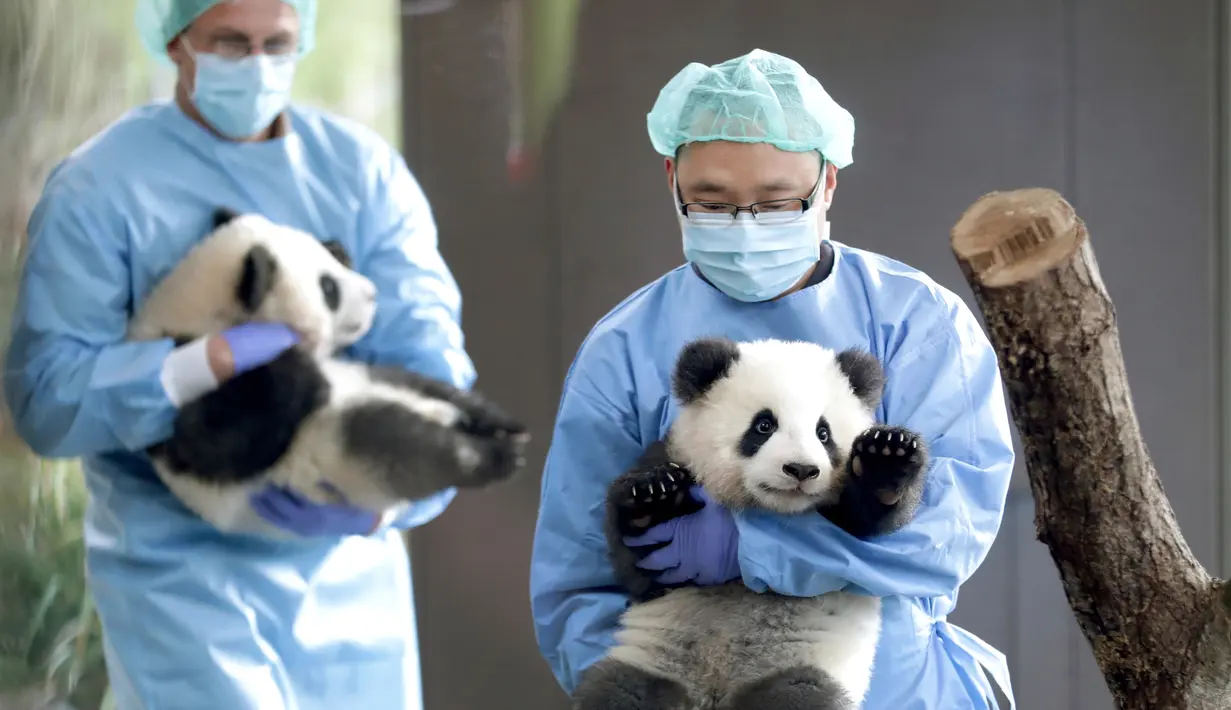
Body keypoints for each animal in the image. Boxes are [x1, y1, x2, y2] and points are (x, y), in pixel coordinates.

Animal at [127, 207, 530, 538]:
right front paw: (290, 363)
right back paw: (494, 455)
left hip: (373, 380)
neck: (199, 314)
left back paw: (500, 423)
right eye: (329, 288)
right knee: (414, 446)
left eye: (328, 260)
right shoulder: (181, 390)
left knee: (431, 387)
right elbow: (229, 437)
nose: (372, 294)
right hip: (347, 451)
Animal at [573, 336, 931, 710]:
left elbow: (864, 534)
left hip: (801, 666)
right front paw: (652, 495)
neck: (769, 509)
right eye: (764, 425)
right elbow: (640, 566)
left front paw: (886, 457)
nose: (801, 469)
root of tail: (712, 696)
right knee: (621, 692)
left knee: (800, 695)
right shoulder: (675, 456)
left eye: (823, 433)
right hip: (652, 657)